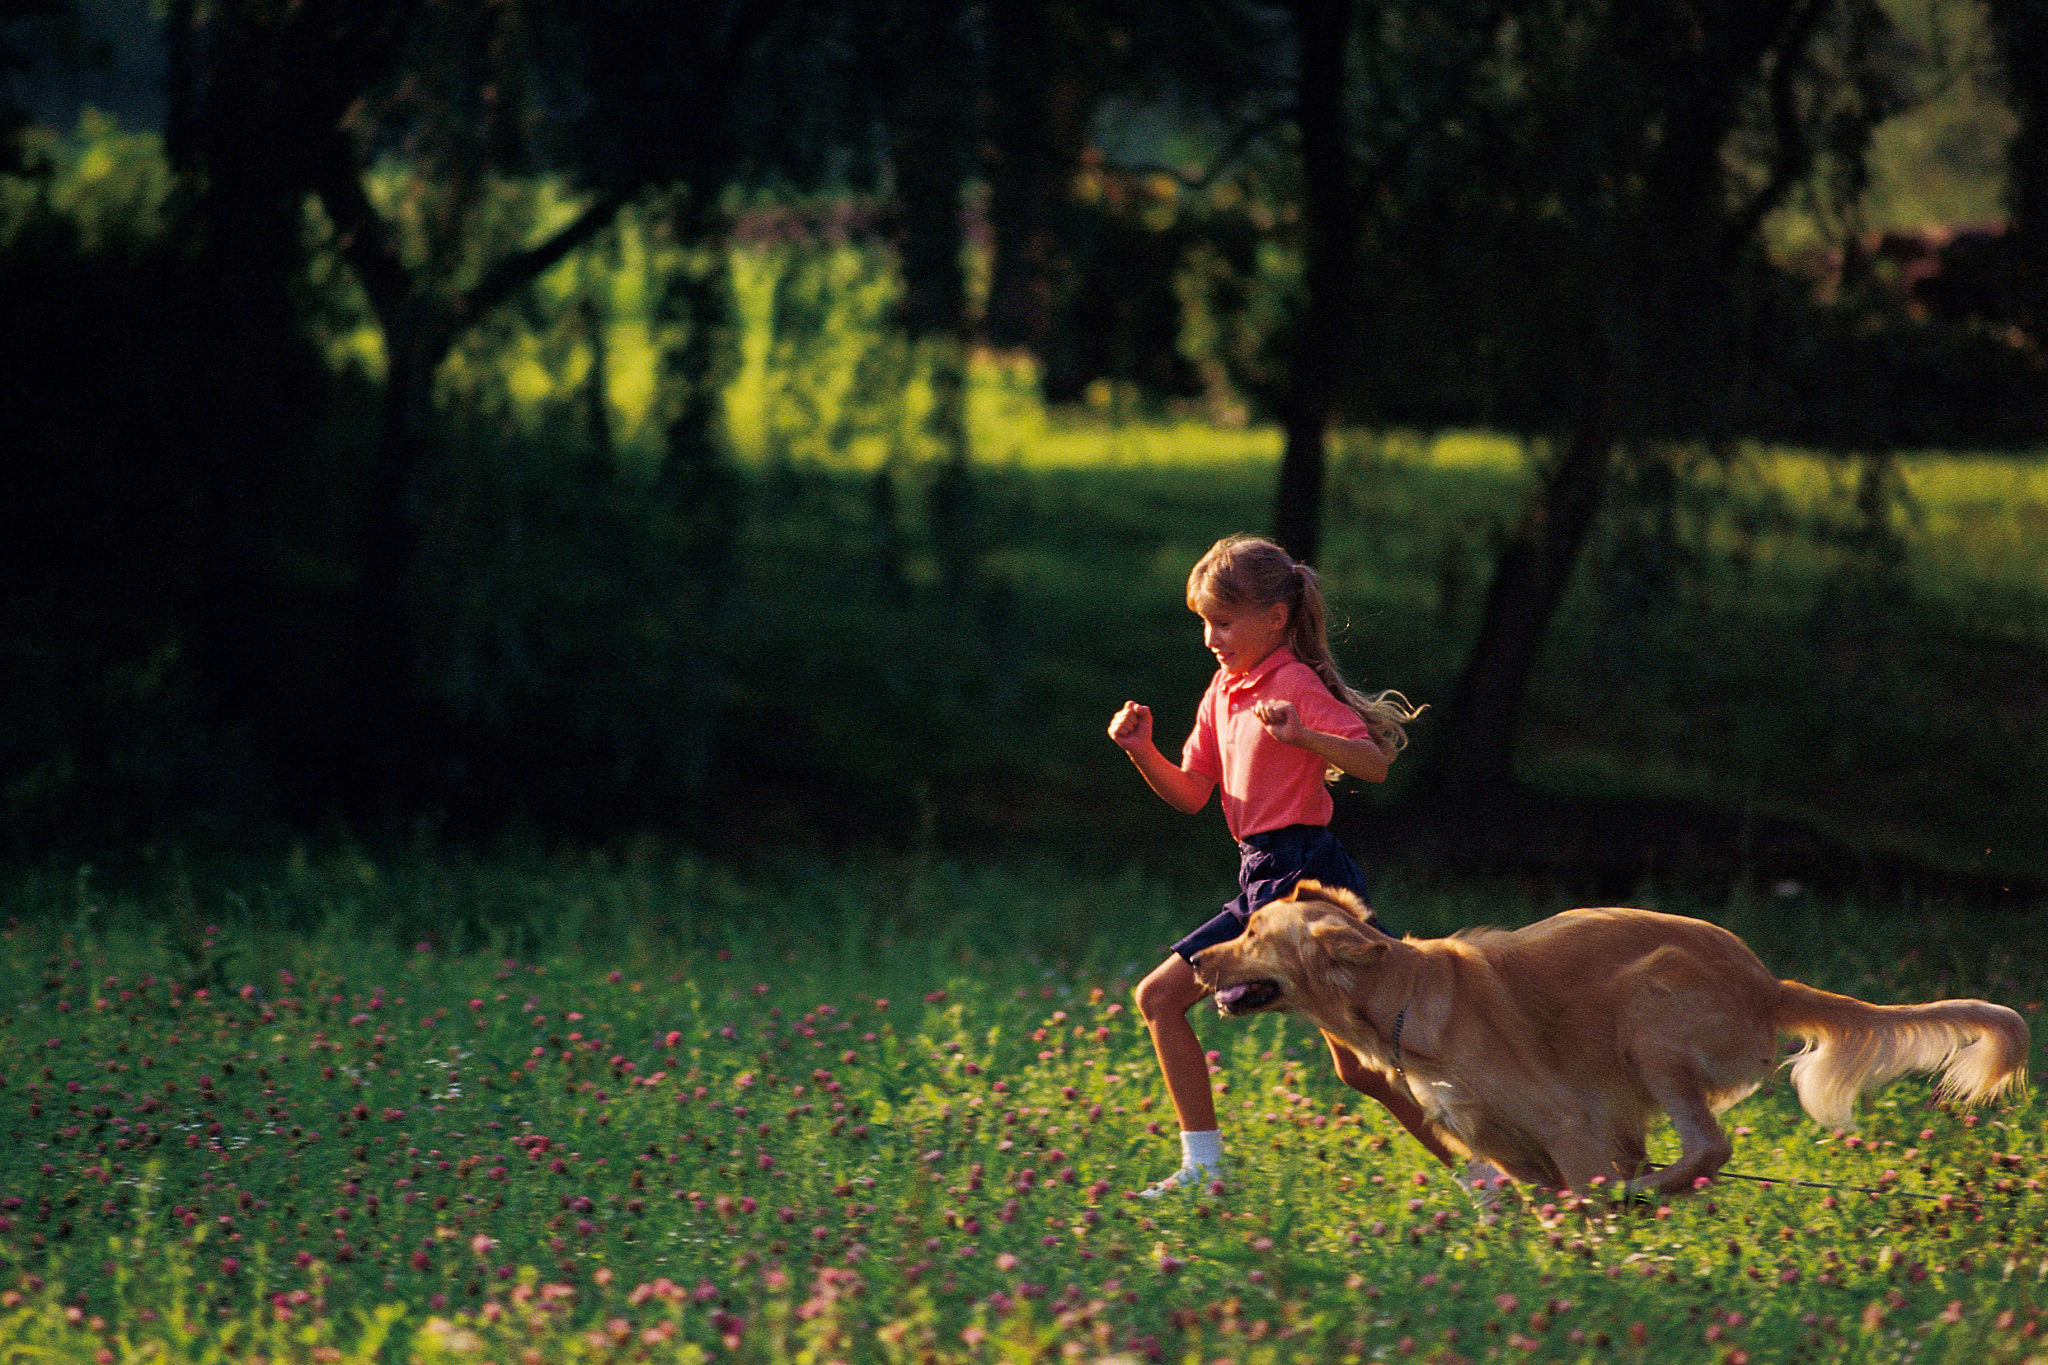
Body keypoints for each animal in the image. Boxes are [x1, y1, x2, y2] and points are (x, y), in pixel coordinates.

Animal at [1196, 888, 2023, 1195]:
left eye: (1252, 934)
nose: (1194, 959)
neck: (1403, 998)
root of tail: (1769, 981)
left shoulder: (1571, 1126)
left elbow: (1581, 1200)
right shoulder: (1513, 1147)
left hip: (1647, 1013)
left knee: (1708, 1147)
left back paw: (1646, 1192)